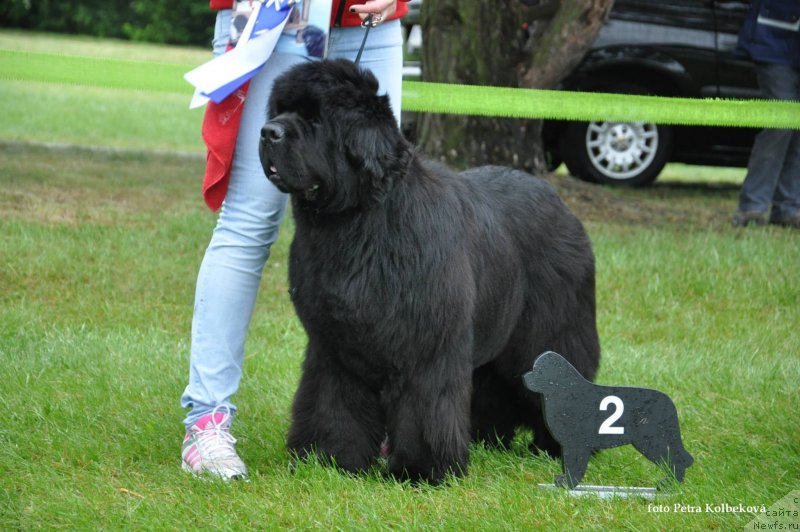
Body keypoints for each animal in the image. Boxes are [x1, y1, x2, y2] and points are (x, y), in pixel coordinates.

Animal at [260, 60, 596, 484]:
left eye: (316, 119)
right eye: (280, 111)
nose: (267, 132)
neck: (357, 222)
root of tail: (561, 204)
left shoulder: (426, 344)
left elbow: (424, 406)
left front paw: (421, 470)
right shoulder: (334, 345)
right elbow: (332, 402)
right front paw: (329, 459)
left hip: (547, 333)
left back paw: (554, 447)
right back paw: (488, 440)